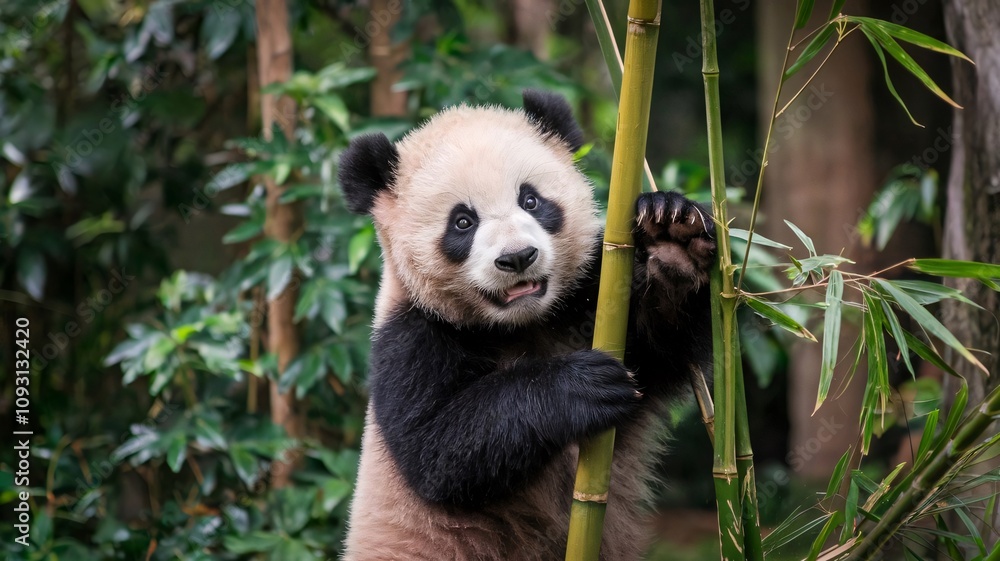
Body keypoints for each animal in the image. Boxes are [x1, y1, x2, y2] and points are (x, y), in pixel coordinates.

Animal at [337, 90, 715, 560]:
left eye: (531, 200)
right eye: (463, 221)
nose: (517, 257)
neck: (521, 322)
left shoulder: (588, 300)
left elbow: (660, 344)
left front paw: (672, 239)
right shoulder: (410, 337)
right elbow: (439, 451)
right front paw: (583, 386)